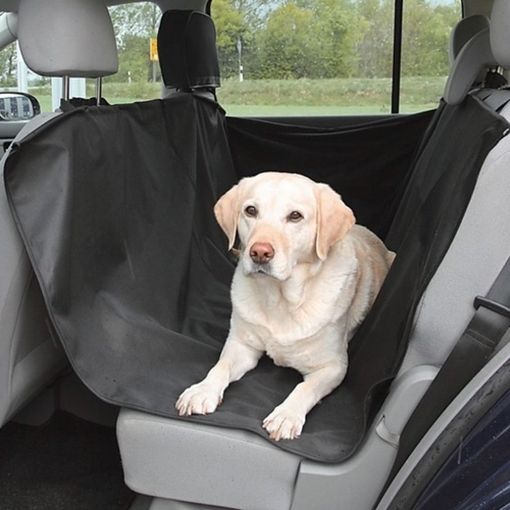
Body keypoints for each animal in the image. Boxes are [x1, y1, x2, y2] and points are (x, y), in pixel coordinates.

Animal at [177, 173, 396, 440]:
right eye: (251, 211)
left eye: (295, 216)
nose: (260, 252)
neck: (279, 299)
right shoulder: (241, 344)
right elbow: (221, 366)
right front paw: (202, 390)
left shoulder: (334, 366)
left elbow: (306, 388)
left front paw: (286, 415)